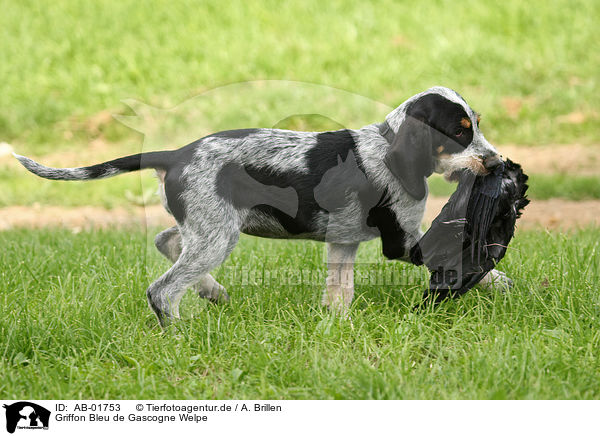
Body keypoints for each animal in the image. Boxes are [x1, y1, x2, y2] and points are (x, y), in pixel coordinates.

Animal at [14, 86, 508, 324]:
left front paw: (337, 324)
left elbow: (339, 291)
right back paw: (180, 334)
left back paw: (211, 291)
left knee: (166, 241)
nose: (496, 162)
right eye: (459, 132)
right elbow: (465, 256)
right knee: (163, 290)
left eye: (477, 124)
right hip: (216, 236)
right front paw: (500, 282)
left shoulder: (343, 243)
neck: (386, 147)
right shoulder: (402, 240)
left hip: (206, 228)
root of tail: (175, 154)